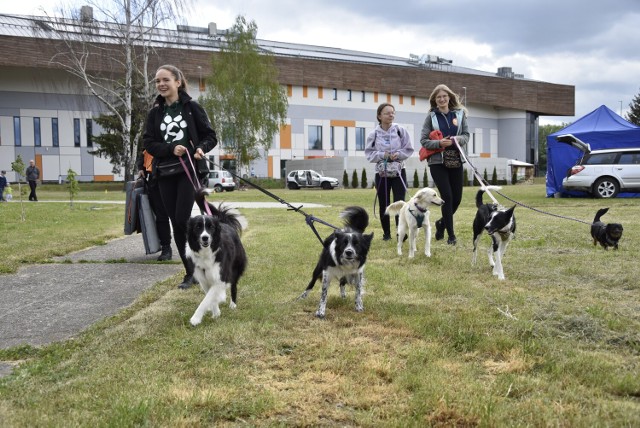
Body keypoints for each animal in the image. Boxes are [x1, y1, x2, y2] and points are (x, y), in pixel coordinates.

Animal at [185, 189, 248, 326]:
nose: (205, 238)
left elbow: (206, 299)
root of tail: (224, 223)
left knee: (233, 285)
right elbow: (209, 297)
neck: (206, 253)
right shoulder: (203, 279)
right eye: (198, 227)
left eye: (211, 227)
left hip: (235, 267)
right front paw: (216, 312)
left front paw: (195, 318)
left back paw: (233, 304)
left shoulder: (220, 276)